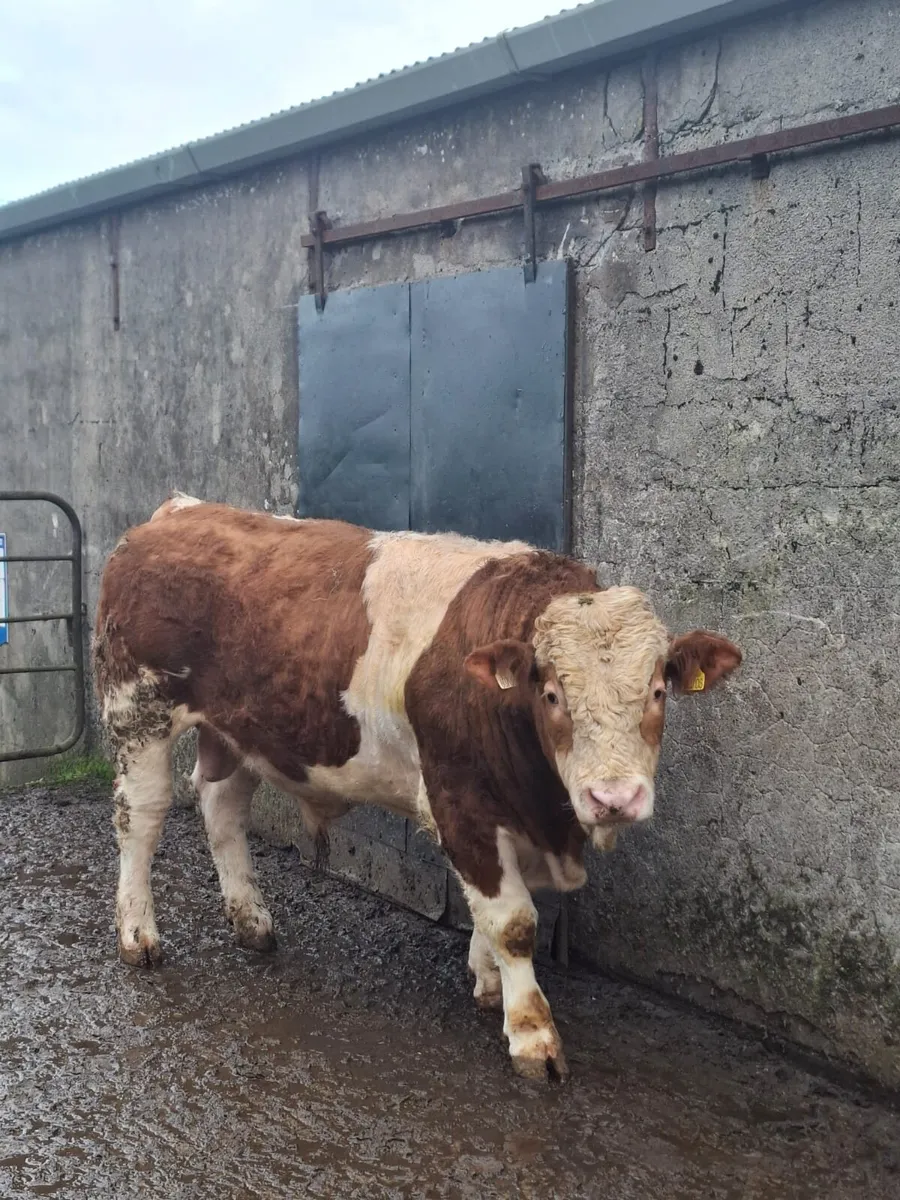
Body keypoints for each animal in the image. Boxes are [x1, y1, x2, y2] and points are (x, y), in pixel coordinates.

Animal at [93, 495, 741, 1081]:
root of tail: (176, 512)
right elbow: (515, 921)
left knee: (222, 807)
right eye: (553, 694)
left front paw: (488, 981)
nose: (614, 798)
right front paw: (532, 1035)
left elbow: (496, 911)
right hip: (136, 711)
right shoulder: (459, 802)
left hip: (241, 728)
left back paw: (251, 921)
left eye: (658, 691)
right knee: (140, 818)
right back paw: (138, 934)